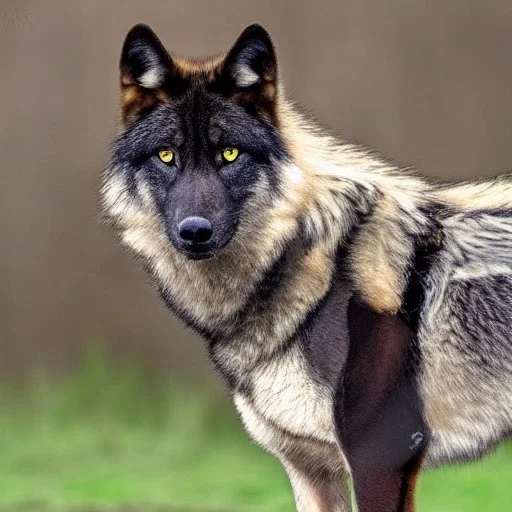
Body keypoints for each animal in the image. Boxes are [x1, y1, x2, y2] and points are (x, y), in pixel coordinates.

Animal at [101, 22, 512, 510]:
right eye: (166, 156)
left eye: (230, 154)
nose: (194, 231)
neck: (317, 278)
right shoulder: (308, 466)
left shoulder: (381, 459)